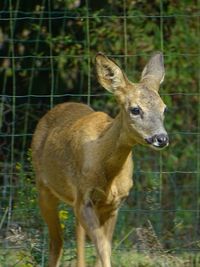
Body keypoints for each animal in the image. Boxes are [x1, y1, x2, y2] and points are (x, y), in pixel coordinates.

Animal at [31, 50, 169, 267]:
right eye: (135, 109)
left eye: (164, 109)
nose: (161, 138)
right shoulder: (85, 196)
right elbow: (103, 247)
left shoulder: (114, 203)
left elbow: (105, 248)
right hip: (44, 187)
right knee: (57, 242)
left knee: (75, 236)